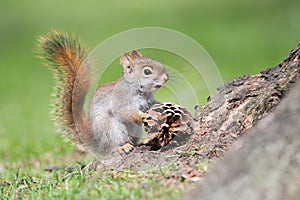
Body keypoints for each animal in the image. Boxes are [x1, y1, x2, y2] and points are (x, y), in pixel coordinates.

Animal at [37, 30, 169, 158]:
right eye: (147, 71)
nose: (166, 78)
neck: (141, 91)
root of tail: (99, 146)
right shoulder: (121, 100)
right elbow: (124, 112)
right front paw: (141, 116)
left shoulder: (148, 101)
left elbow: (152, 104)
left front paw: (164, 105)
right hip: (110, 129)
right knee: (113, 147)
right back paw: (123, 147)